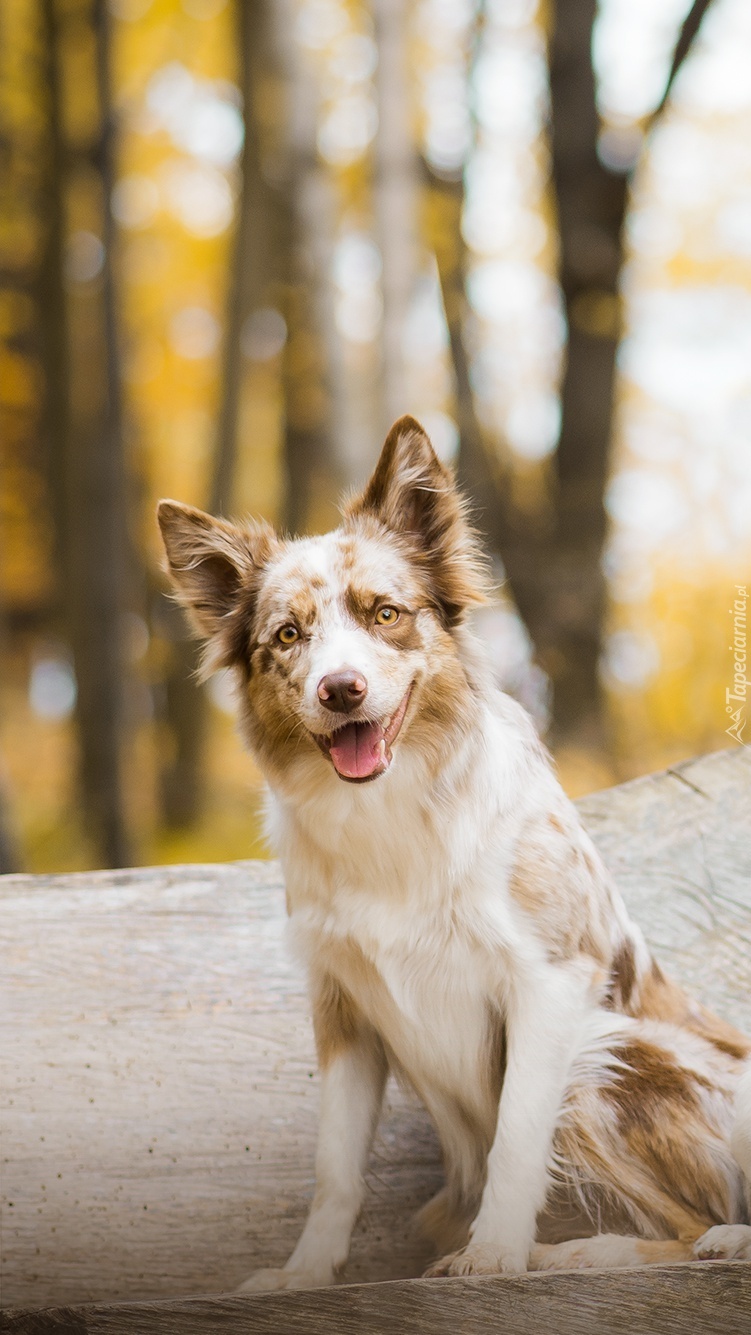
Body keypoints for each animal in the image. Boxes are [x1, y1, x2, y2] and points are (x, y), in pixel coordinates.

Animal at [157, 411, 751, 1286]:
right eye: (288, 635)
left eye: (385, 614)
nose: (340, 689)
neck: (390, 813)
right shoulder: (343, 1006)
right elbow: (335, 1168)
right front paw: (306, 1273)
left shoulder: (549, 985)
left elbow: (515, 1138)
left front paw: (495, 1251)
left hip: (601, 1050)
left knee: (690, 1223)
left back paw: (582, 1249)